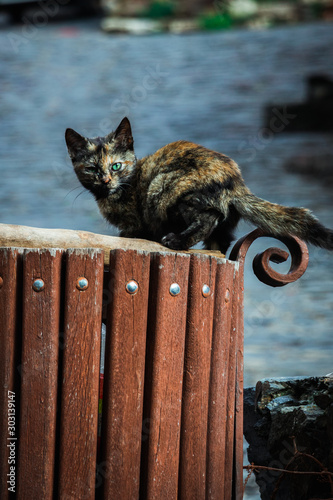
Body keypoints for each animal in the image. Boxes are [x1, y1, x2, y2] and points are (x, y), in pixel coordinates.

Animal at [65, 115, 332, 252]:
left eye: (116, 166)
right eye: (91, 169)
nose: (105, 180)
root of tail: (236, 182)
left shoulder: (136, 219)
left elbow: (133, 230)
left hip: (164, 189)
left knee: (207, 218)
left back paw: (176, 241)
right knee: (222, 238)